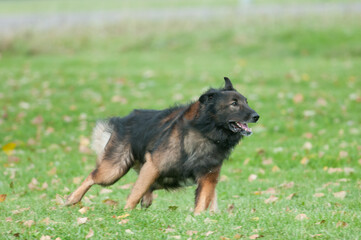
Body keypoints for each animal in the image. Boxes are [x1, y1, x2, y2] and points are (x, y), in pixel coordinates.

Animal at [66, 77, 258, 214]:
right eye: (234, 104)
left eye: (246, 101)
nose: (257, 116)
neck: (206, 133)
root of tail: (125, 119)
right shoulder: (154, 165)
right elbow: (135, 193)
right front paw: (126, 214)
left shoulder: (208, 177)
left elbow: (203, 201)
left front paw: (198, 219)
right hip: (114, 170)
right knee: (93, 176)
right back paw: (72, 199)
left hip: (164, 177)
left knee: (147, 184)